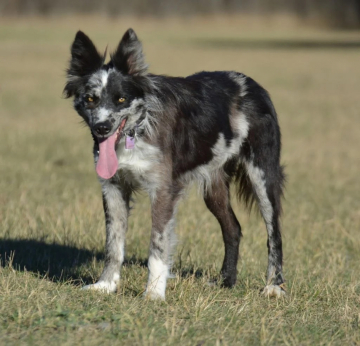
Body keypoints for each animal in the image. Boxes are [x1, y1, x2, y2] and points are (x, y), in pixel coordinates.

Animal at [64, 29, 284, 300]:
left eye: (121, 99)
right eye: (90, 98)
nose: (102, 128)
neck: (138, 128)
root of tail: (253, 85)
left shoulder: (163, 191)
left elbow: (157, 245)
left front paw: (154, 293)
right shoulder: (113, 187)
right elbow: (113, 244)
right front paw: (106, 285)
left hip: (262, 177)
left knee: (274, 233)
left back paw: (274, 286)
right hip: (214, 186)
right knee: (233, 228)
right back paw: (226, 281)